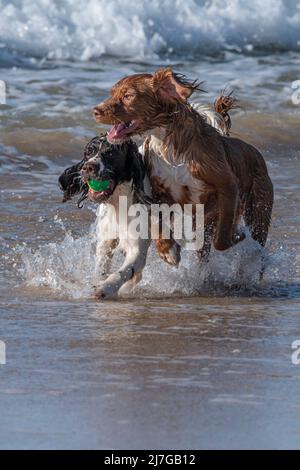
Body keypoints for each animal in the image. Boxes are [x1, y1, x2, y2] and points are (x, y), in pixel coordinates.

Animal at [94, 69, 274, 258]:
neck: (169, 146)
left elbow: (222, 239)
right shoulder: (158, 192)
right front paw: (167, 249)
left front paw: (237, 236)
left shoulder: (228, 186)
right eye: (112, 93)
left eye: (128, 95)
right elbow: (156, 221)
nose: (95, 111)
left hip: (259, 209)